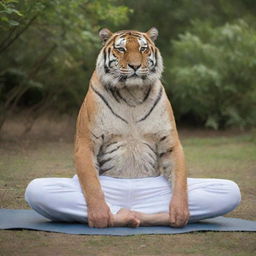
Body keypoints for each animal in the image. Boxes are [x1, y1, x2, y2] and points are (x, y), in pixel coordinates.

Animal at [75, 27, 189, 228]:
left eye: (143, 49)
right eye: (121, 49)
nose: (135, 66)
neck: (132, 94)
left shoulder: (169, 141)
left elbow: (179, 176)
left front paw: (179, 211)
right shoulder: (86, 142)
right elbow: (91, 184)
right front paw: (99, 215)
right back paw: (125, 216)